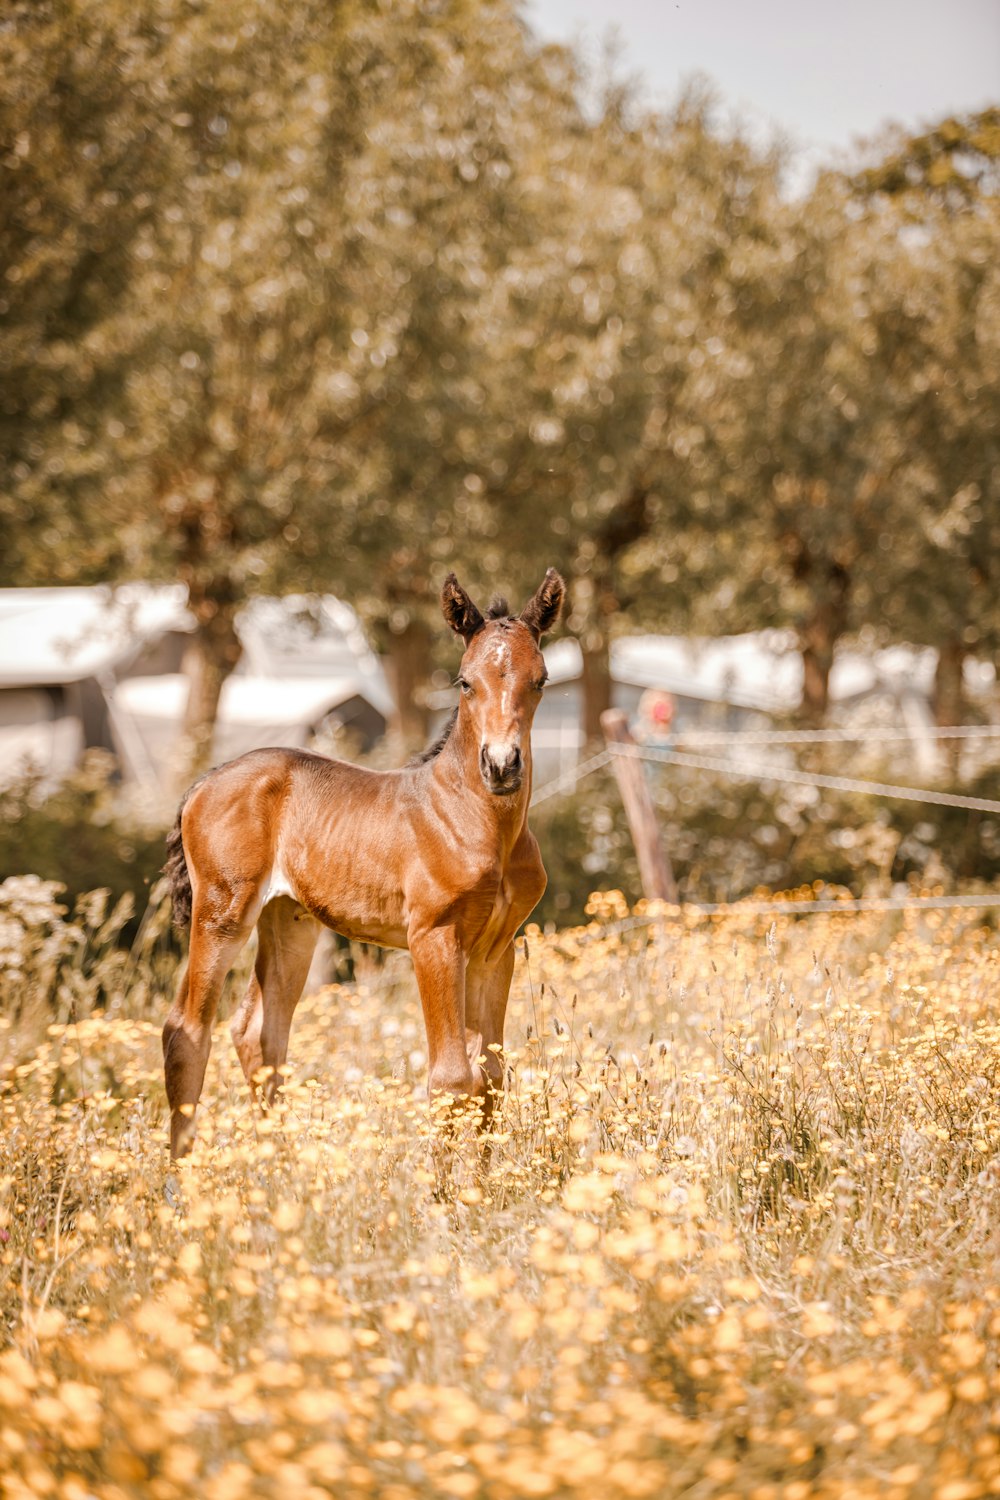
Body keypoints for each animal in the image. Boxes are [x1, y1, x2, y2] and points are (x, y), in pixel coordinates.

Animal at [164, 570, 563, 1158]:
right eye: (464, 682)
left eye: (540, 681)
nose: (501, 766)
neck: (476, 820)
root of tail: (204, 782)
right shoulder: (434, 937)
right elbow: (450, 1078)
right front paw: (446, 1184)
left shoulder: (497, 948)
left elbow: (490, 1076)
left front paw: (487, 1179)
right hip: (222, 913)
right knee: (186, 1032)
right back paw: (183, 1172)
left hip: (290, 920)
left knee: (258, 1032)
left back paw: (276, 1162)